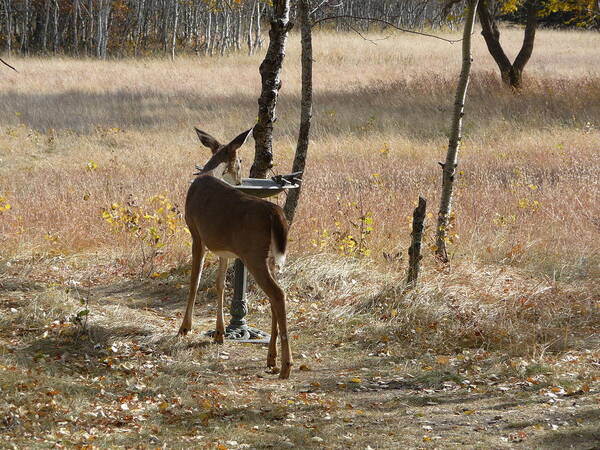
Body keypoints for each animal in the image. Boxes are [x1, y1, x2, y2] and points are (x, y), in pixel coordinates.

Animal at [177, 126, 292, 380]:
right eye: (241, 160)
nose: (240, 179)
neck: (209, 174)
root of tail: (275, 213)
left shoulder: (196, 234)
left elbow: (194, 281)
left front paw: (184, 328)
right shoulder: (225, 250)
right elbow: (220, 285)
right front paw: (220, 333)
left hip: (253, 253)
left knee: (278, 294)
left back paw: (286, 366)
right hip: (268, 256)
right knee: (274, 296)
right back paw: (271, 359)